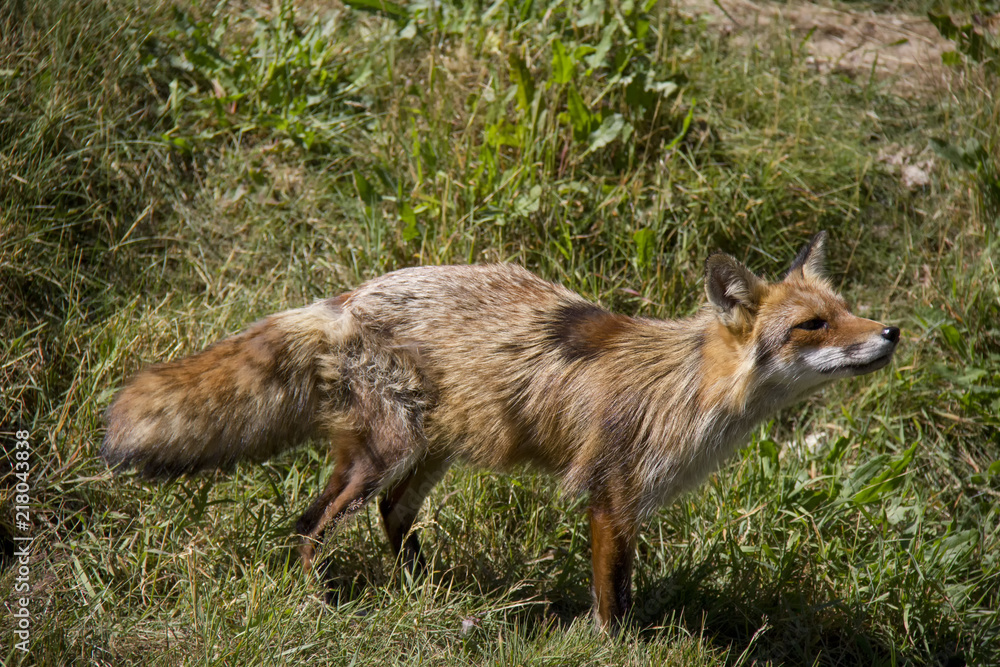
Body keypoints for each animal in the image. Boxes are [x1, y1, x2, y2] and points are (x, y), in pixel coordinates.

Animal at [101, 231, 899, 629]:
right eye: (812, 325)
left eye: (846, 310)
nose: (890, 332)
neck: (684, 390)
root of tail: (346, 297)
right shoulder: (610, 497)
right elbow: (613, 603)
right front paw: (613, 648)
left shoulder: (625, 506)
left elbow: (621, 592)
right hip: (385, 453)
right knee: (309, 523)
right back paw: (317, 604)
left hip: (428, 455)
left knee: (392, 517)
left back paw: (429, 591)